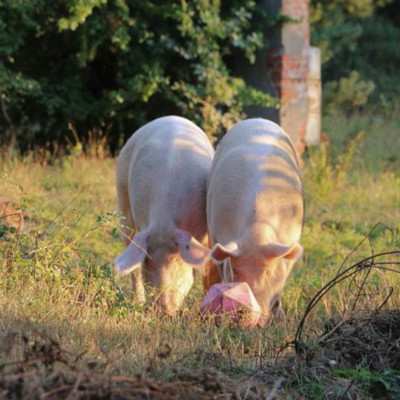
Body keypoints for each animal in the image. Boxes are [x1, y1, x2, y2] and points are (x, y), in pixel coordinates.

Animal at [114, 115, 214, 316]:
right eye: (147, 261)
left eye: (176, 259)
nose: (164, 311)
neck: (164, 222)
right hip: (123, 200)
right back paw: (137, 302)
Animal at [203, 117, 304, 326]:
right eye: (235, 268)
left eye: (269, 272)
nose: (245, 312)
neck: (257, 232)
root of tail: (257, 120)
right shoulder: (218, 233)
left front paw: (279, 318)